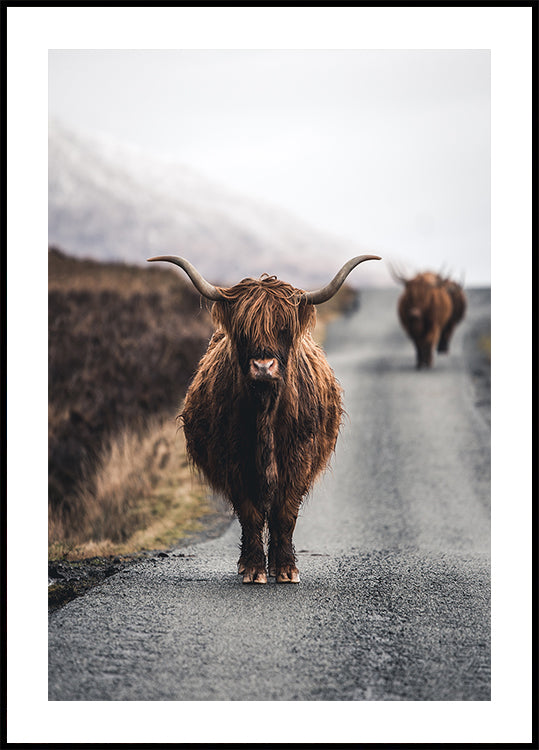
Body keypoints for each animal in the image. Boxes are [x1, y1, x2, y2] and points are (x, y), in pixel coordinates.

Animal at [147, 254, 381, 583]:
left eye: (283, 329)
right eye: (244, 330)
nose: (263, 366)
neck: (265, 410)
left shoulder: (298, 457)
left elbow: (285, 512)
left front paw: (285, 569)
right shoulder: (234, 460)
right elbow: (250, 513)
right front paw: (254, 568)